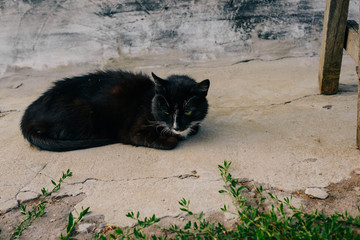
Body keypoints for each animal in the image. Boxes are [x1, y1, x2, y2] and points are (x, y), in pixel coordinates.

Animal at [19, 70, 210, 151]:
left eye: (187, 111)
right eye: (166, 111)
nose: (177, 127)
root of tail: (27, 115)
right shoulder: (135, 132)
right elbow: (170, 142)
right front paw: (172, 137)